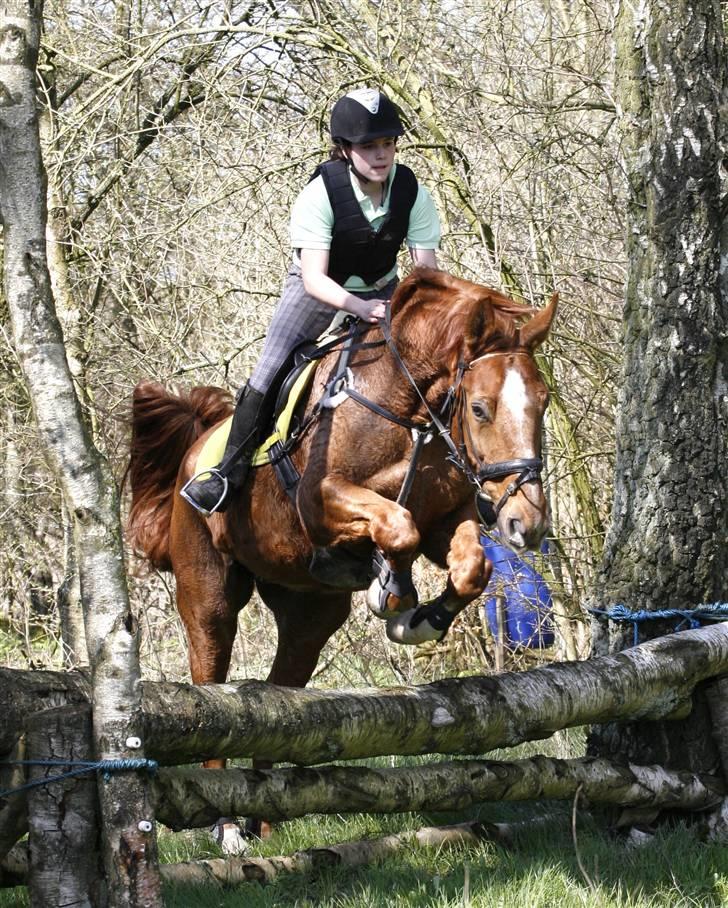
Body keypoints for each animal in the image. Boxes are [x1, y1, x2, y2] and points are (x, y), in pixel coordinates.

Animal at [126, 262, 556, 696]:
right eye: (480, 409)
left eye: (544, 402)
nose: (528, 524)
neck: (410, 414)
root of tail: (194, 450)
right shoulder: (318, 502)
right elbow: (399, 527)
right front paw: (392, 593)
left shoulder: (445, 519)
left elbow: (471, 567)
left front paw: (418, 622)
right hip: (208, 593)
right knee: (210, 649)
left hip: (308, 608)